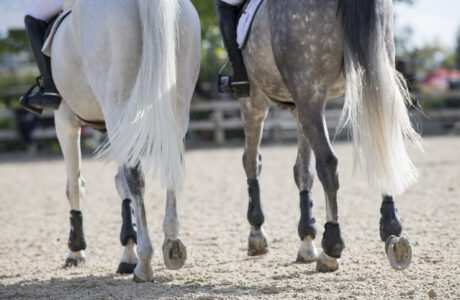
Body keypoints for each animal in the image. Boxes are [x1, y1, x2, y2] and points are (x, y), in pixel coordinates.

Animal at [49, 0, 200, 282]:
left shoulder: (64, 119)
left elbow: (74, 185)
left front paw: (76, 251)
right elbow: (120, 185)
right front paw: (127, 252)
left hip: (117, 102)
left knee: (134, 177)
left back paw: (145, 262)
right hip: (176, 103)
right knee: (170, 166)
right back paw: (172, 244)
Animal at [239, 0, 418, 272]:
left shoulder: (256, 100)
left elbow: (253, 162)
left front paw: (257, 233)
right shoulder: (299, 107)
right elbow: (303, 171)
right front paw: (306, 240)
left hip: (305, 92)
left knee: (327, 163)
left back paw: (331, 245)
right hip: (371, 73)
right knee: (382, 145)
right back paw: (392, 233)